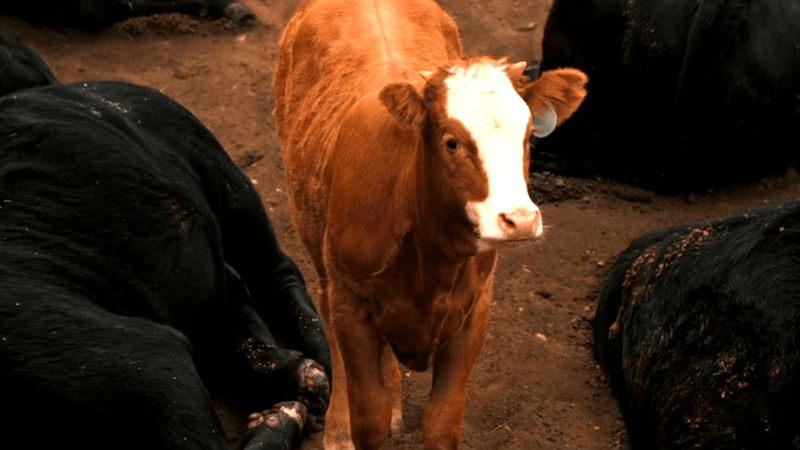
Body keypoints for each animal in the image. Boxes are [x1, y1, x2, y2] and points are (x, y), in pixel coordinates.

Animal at [272, 1, 588, 449]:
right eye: (451, 142)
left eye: (528, 136)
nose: (520, 219)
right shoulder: (351, 304)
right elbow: (369, 416)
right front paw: (355, 423)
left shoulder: (475, 310)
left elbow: (442, 422)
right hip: (321, 256)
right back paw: (338, 428)